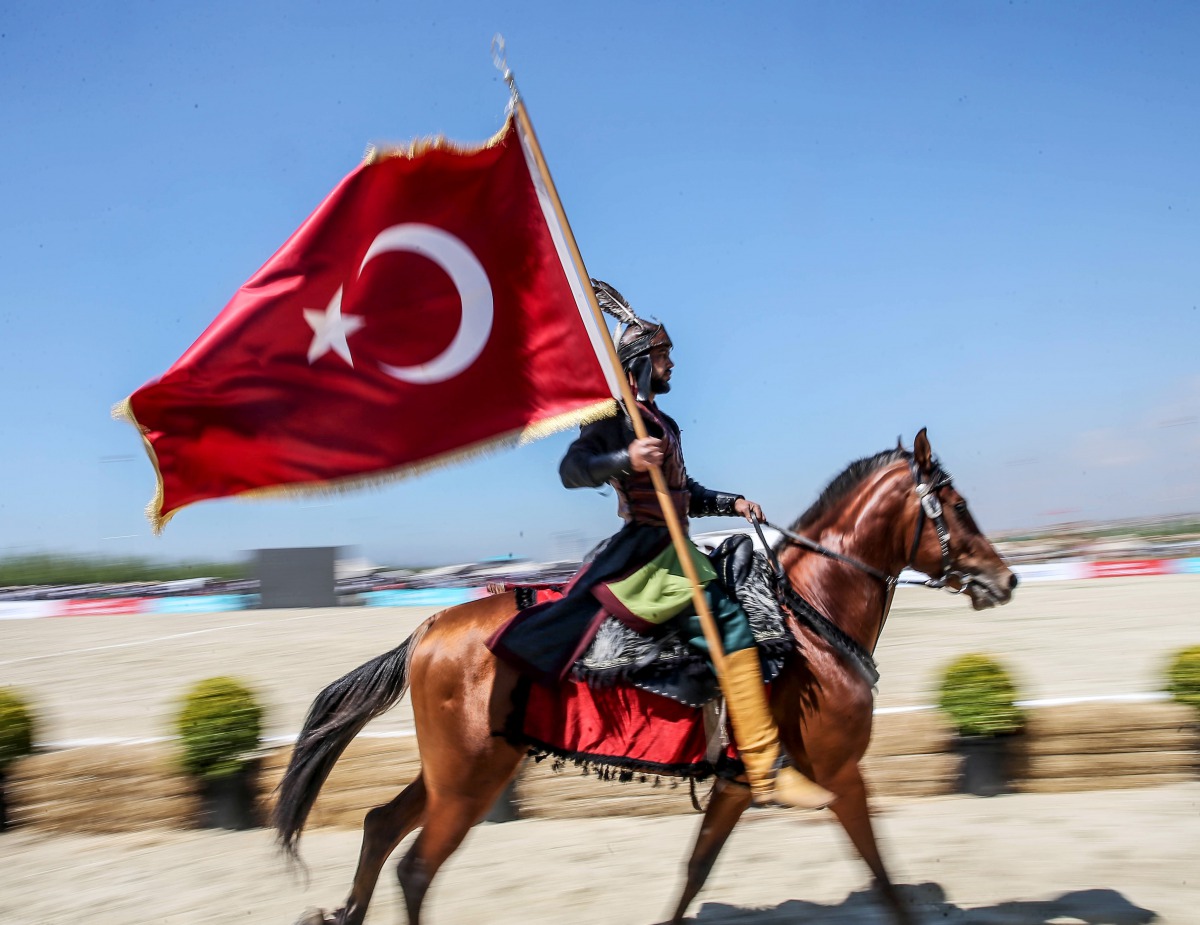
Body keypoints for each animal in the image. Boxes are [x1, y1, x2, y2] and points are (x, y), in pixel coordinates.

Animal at [276, 431, 1017, 925]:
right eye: (955, 504)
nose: (1004, 578)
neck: (808, 617)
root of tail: (430, 626)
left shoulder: (738, 784)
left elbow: (695, 871)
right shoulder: (840, 774)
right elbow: (883, 875)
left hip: (460, 769)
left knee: (379, 825)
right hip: (468, 779)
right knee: (416, 867)